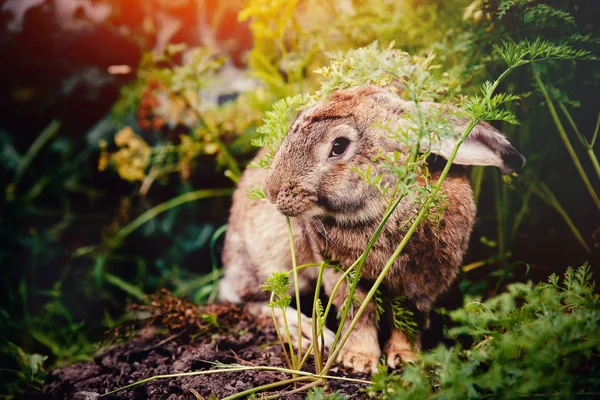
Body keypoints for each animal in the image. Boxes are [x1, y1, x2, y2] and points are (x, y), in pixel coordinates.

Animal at [218, 85, 524, 376]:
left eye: (339, 146)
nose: (271, 190)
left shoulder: (425, 281)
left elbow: (410, 319)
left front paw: (406, 358)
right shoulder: (341, 273)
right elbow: (358, 313)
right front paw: (359, 361)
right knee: (260, 302)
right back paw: (306, 333)